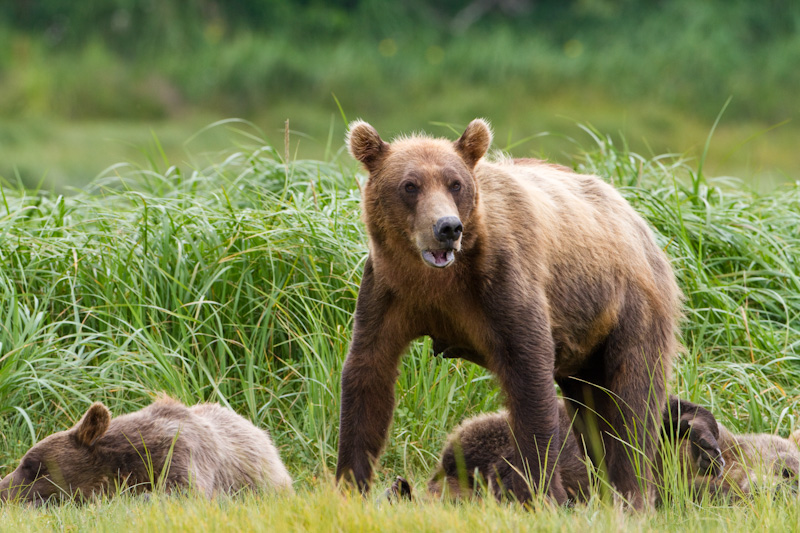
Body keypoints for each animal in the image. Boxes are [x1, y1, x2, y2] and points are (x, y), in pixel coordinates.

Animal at [338, 117, 680, 508]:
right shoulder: (390, 291)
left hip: (629, 305)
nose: (447, 227)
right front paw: (349, 483)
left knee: (632, 402)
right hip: (587, 345)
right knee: (590, 411)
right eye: (410, 185)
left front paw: (542, 492)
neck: (440, 280)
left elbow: (528, 371)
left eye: (455, 184)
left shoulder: (502, 284)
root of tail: (639, 221)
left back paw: (630, 495)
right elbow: (369, 372)